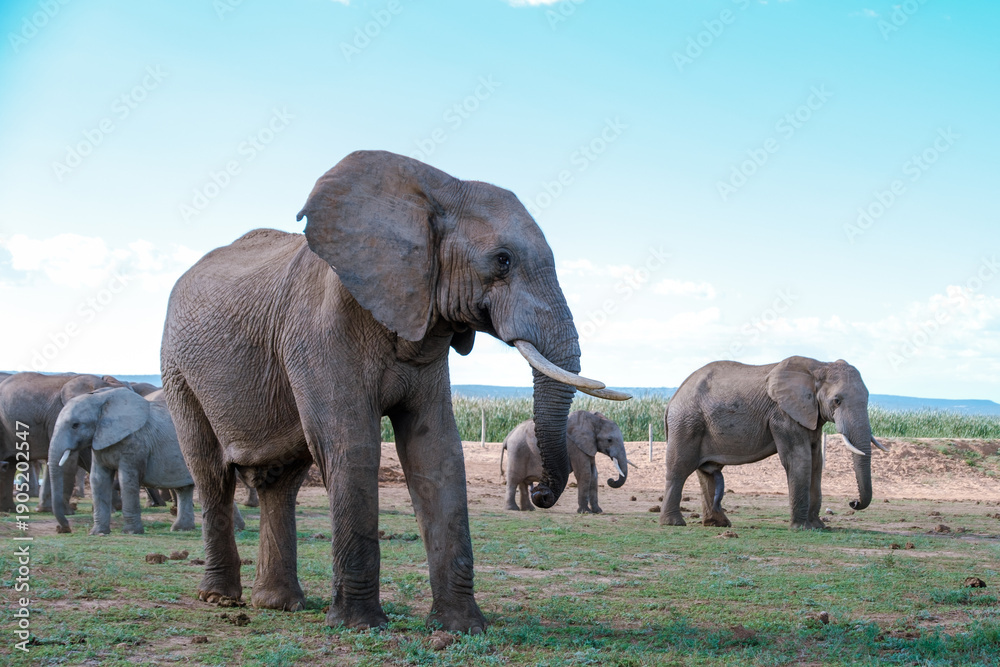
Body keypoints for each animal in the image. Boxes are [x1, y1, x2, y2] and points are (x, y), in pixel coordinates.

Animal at [47, 387, 246, 535]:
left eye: (75, 425)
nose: (65, 528)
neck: (101, 400)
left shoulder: (135, 442)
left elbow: (127, 480)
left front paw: (131, 532)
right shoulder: (100, 443)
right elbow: (98, 480)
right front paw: (98, 533)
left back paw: (236, 529)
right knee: (184, 489)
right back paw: (181, 529)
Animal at [160, 150, 628, 633]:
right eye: (502, 260)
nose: (541, 496)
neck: (435, 189)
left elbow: (436, 451)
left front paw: (460, 628)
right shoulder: (320, 329)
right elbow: (353, 445)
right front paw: (359, 626)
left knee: (281, 482)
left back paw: (278, 604)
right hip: (178, 372)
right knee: (211, 473)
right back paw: (220, 599)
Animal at [659, 356, 888, 530]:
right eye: (837, 401)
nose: (853, 502)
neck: (819, 365)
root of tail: (671, 401)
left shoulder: (810, 415)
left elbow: (816, 462)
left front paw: (819, 527)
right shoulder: (782, 415)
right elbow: (800, 460)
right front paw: (802, 528)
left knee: (706, 473)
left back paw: (719, 524)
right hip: (686, 422)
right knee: (680, 468)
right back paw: (674, 523)